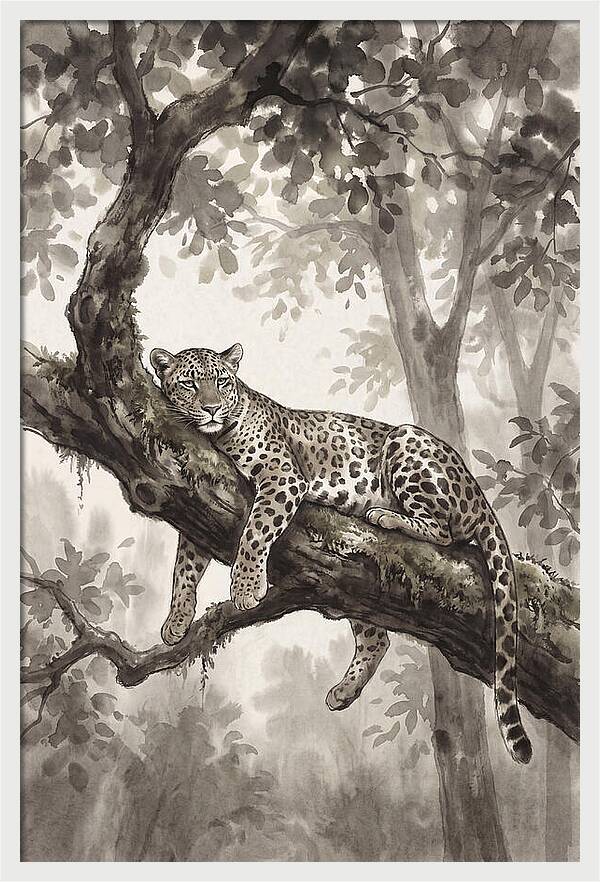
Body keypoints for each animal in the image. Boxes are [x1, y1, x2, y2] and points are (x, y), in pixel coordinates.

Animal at [150, 343, 532, 764]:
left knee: (443, 531)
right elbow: (185, 566)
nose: (213, 408)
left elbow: (254, 532)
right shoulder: (202, 497)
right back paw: (344, 692)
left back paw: (385, 515)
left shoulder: (282, 477)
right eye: (189, 384)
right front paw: (177, 620)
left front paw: (247, 588)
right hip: (355, 589)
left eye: (221, 382)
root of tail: (478, 493)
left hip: (406, 442)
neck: (217, 437)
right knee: (376, 639)